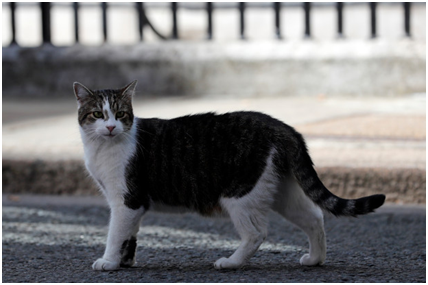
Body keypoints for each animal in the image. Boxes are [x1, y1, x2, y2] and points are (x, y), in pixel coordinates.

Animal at [72, 80, 384, 270]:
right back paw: (316, 259)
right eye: (98, 114)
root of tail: (284, 127)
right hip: (281, 192)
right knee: (315, 217)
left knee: (257, 233)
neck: (101, 148)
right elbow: (130, 235)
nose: (110, 127)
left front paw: (108, 262)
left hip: (240, 194)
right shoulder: (132, 205)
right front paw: (124, 262)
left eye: (121, 114)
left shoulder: (126, 200)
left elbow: (115, 234)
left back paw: (231, 262)